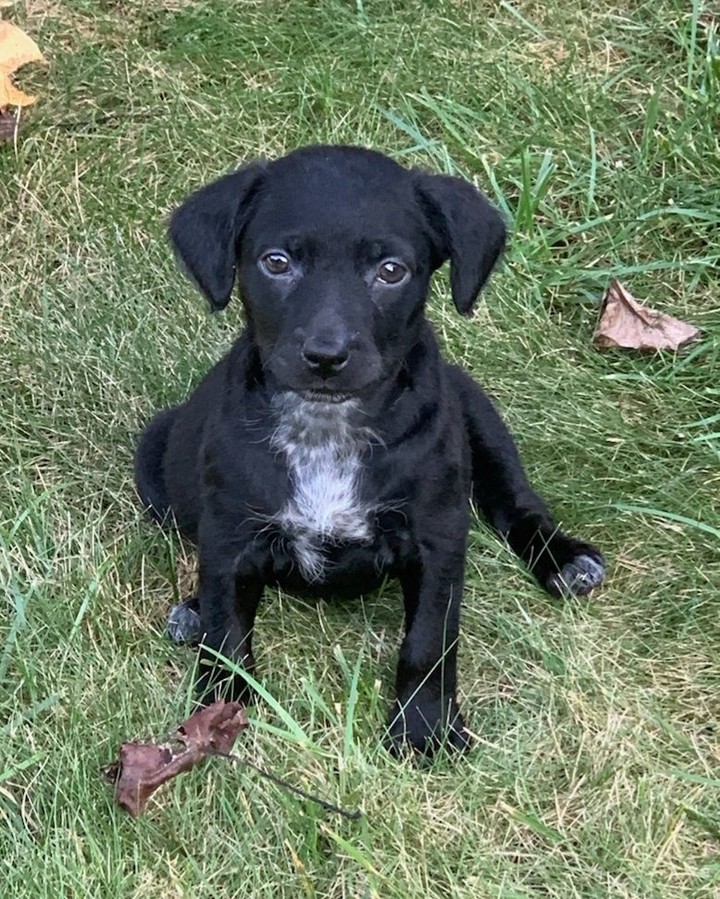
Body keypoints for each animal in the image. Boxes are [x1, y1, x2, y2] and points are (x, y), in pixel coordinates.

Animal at [134, 144, 600, 756]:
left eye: (390, 271)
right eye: (277, 263)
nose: (326, 356)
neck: (326, 427)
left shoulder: (437, 537)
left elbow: (429, 641)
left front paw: (424, 729)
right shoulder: (230, 534)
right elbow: (227, 634)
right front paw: (218, 717)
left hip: (476, 411)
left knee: (515, 502)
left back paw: (562, 558)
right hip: (155, 462)